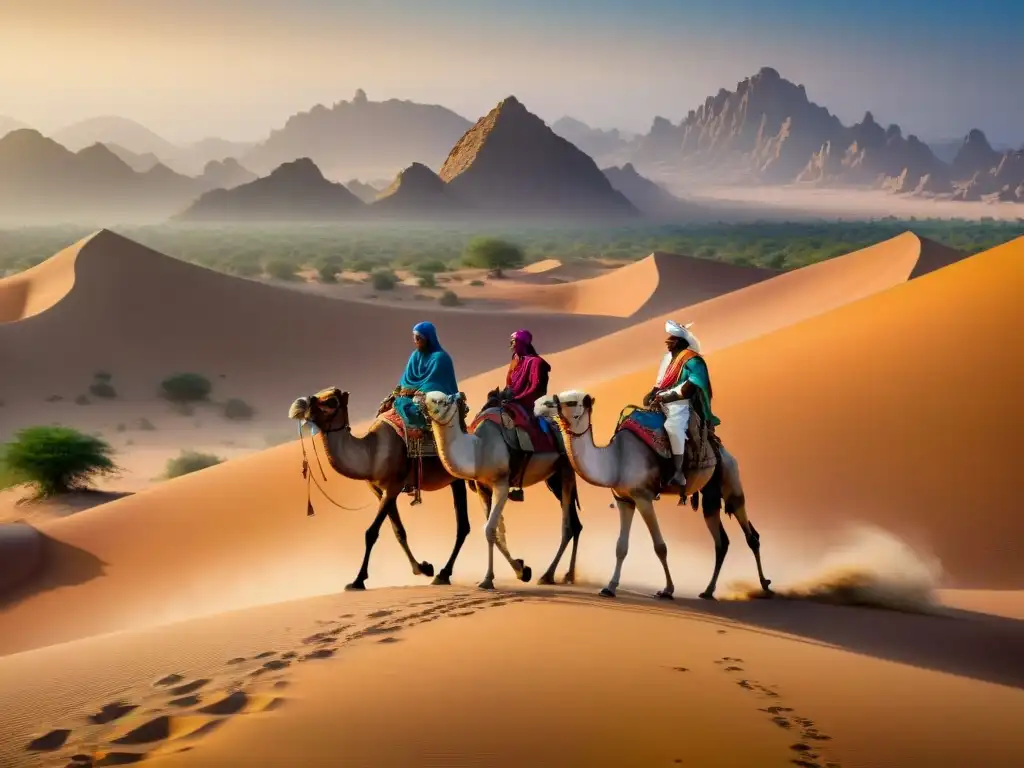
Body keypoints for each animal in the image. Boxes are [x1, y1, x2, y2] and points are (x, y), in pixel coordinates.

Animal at [288, 387, 528, 593]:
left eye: (331, 401)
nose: (299, 405)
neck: (372, 452)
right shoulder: (380, 491)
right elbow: (398, 531)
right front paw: (422, 567)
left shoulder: (393, 487)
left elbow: (371, 533)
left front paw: (357, 580)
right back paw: (517, 568)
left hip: (462, 479)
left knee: (466, 526)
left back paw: (448, 573)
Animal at [419, 391, 585, 593]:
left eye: (440, 401)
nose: (419, 402)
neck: (478, 449)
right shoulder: (482, 488)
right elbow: (495, 531)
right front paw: (522, 570)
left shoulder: (502, 484)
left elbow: (490, 529)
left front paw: (488, 580)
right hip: (553, 478)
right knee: (575, 524)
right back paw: (568, 575)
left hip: (566, 469)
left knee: (567, 525)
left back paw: (548, 575)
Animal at [544, 391, 770, 602]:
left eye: (571, 401)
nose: (545, 403)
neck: (616, 459)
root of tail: (720, 448)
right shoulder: (624, 500)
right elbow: (621, 547)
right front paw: (609, 588)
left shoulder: (643, 497)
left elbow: (660, 547)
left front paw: (668, 590)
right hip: (710, 494)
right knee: (721, 541)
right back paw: (707, 591)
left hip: (731, 479)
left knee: (751, 535)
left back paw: (765, 587)